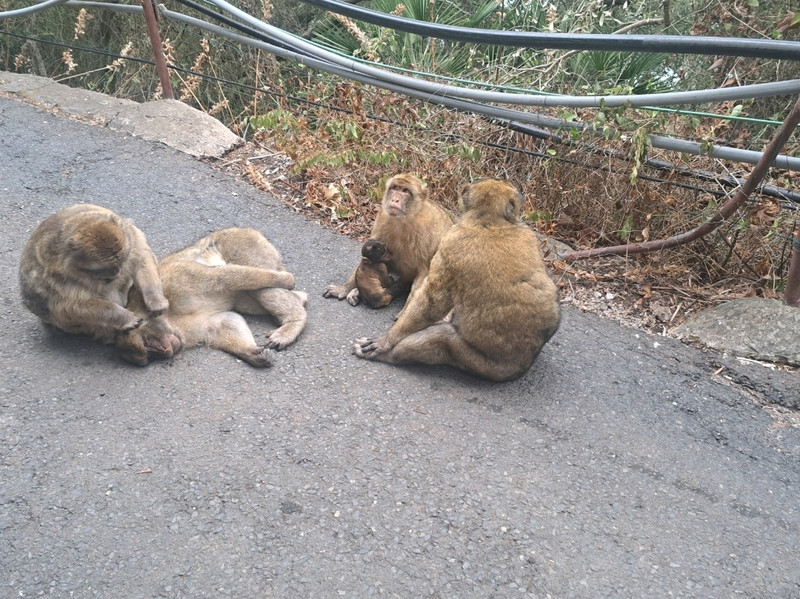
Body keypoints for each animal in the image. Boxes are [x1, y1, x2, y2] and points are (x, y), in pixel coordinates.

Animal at [19, 203, 168, 344]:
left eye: (121, 262)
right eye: (103, 269)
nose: (118, 273)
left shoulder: (131, 237)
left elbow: (143, 259)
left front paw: (155, 299)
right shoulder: (55, 279)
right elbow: (72, 307)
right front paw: (124, 317)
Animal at [115, 228, 306, 368]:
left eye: (149, 344)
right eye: (151, 356)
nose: (166, 352)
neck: (169, 318)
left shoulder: (176, 282)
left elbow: (222, 278)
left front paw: (287, 280)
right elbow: (225, 324)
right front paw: (252, 354)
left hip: (244, 245)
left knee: (259, 286)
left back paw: (294, 320)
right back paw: (301, 298)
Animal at [323, 173, 453, 308]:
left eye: (405, 191)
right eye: (395, 188)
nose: (395, 200)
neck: (405, 219)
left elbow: (425, 270)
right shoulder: (383, 217)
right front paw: (344, 288)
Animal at [352, 179, 561, 382]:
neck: (490, 219)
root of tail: (524, 363)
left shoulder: (449, 244)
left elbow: (432, 304)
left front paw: (386, 341)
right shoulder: (528, 234)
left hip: (486, 366)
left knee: (442, 338)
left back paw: (389, 356)